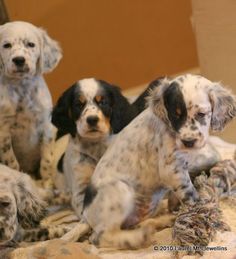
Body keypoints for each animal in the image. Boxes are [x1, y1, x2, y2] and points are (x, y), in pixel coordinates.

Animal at [0, 20, 61, 183]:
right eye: (6, 45)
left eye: (31, 44)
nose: (19, 60)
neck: (22, 89)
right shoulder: (3, 133)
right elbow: (12, 162)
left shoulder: (47, 126)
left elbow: (47, 161)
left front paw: (48, 183)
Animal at [61, 74, 236, 250]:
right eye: (175, 115)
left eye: (201, 114)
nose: (188, 141)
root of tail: (86, 216)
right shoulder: (171, 170)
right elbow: (191, 195)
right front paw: (206, 214)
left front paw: (177, 207)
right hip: (120, 190)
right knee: (100, 238)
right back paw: (137, 238)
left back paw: (162, 220)